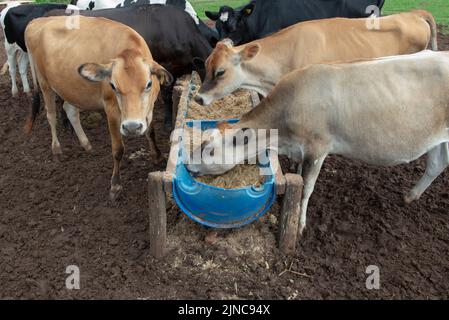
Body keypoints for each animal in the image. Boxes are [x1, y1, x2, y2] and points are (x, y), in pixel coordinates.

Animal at [24, 16, 173, 200]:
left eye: (149, 84)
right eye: (113, 86)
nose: (131, 127)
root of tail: (37, 21)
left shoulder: (149, 109)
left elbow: (150, 132)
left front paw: (158, 157)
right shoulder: (111, 109)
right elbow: (118, 149)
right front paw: (115, 185)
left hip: (70, 88)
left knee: (70, 110)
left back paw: (86, 144)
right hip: (44, 83)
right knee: (51, 115)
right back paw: (57, 149)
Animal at [187, 50, 448, 235]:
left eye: (209, 150)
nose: (188, 164)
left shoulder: (317, 148)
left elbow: (307, 188)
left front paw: (301, 224)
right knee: (436, 164)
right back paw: (410, 196)